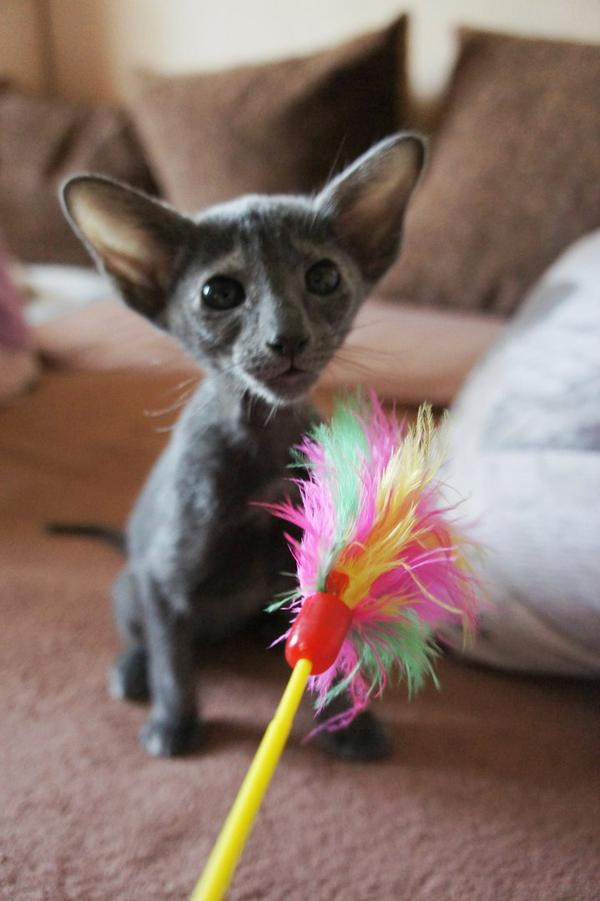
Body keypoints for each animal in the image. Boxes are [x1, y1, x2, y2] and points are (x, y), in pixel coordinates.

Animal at [61, 132, 425, 758]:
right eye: (220, 293)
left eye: (323, 278)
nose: (288, 336)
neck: (261, 445)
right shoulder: (162, 581)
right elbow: (173, 665)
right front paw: (174, 722)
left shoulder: (317, 576)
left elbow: (323, 656)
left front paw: (346, 726)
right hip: (131, 585)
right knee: (150, 639)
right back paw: (133, 668)